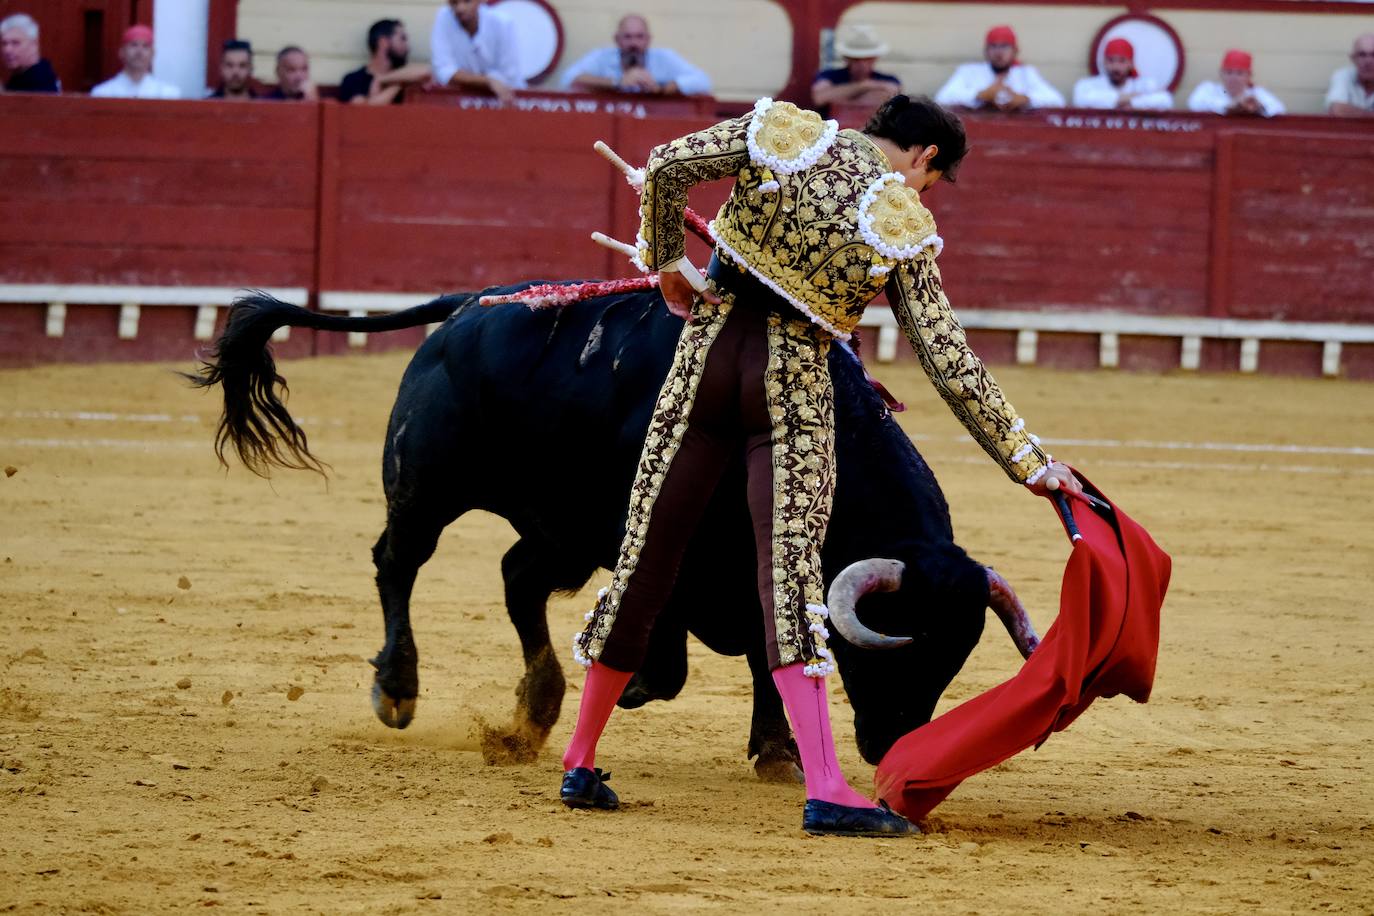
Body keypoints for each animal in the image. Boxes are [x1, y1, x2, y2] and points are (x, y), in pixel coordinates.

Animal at [190, 284, 1033, 774]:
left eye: (954, 662)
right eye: (899, 647)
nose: (892, 748)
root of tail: (472, 307)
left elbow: (767, 649)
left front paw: (775, 750)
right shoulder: (674, 549)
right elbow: (683, 647)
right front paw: (646, 686)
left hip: (558, 526)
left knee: (516, 578)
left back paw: (536, 707)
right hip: (426, 486)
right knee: (397, 563)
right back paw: (399, 688)